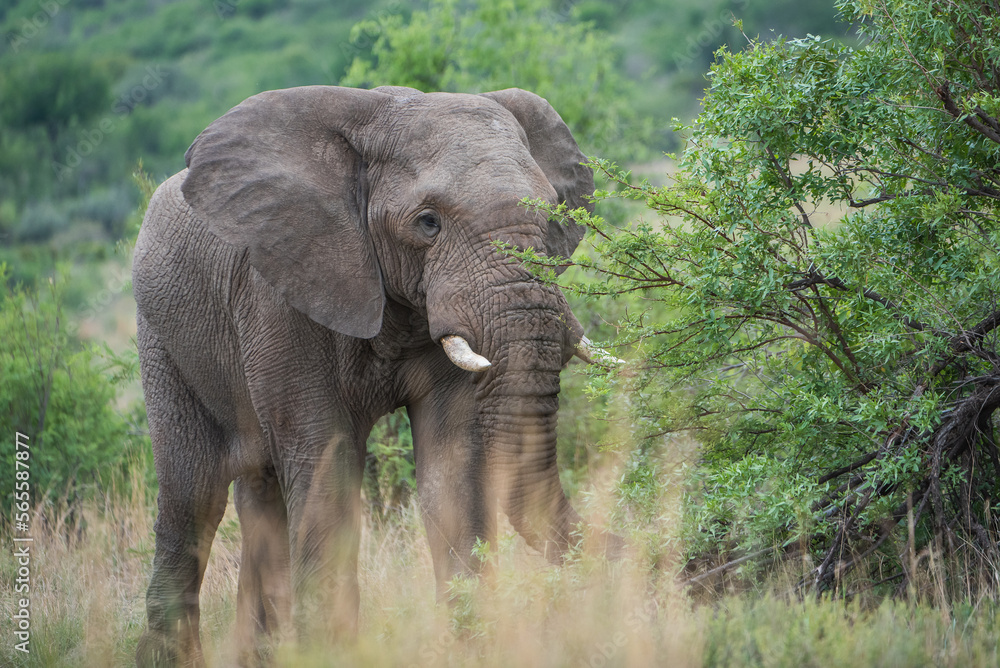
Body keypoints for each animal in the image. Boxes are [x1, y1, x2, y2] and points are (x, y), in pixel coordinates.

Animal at [133, 86, 616, 664]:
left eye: (551, 215)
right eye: (427, 222)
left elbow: (452, 470)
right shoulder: (279, 293)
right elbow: (328, 465)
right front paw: (332, 651)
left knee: (260, 497)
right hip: (161, 333)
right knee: (193, 498)